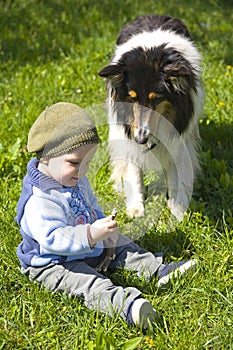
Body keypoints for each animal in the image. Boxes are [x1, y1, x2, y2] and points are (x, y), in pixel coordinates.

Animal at [99, 15, 204, 221]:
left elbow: (177, 175)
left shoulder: (180, 140)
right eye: (132, 97)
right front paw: (135, 208)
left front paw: (177, 209)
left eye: (156, 98)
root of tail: (153, 15)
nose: (141, 139)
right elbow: (133, 170)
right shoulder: (127, 136)